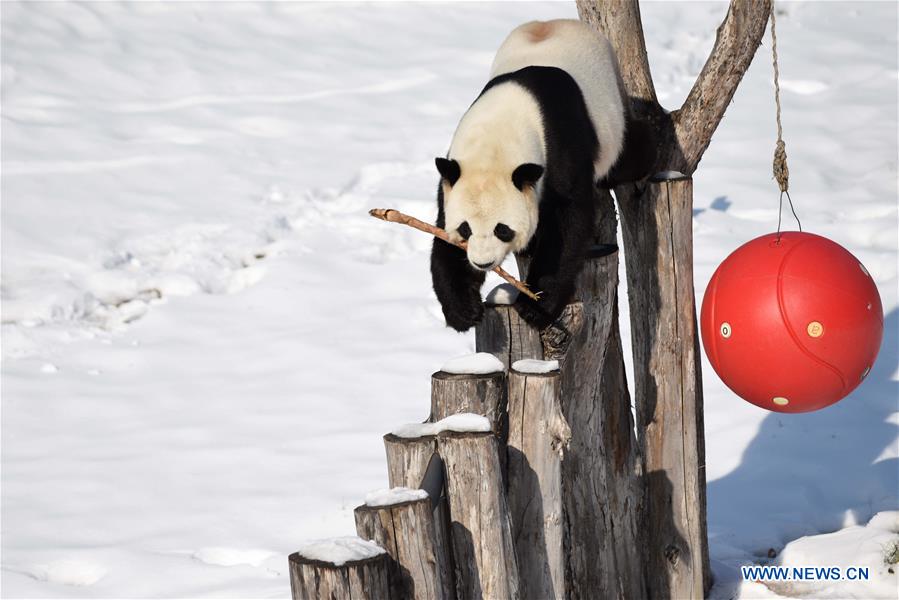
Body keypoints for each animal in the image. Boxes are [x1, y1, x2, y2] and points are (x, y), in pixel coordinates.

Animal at [430, 19, 652, 332]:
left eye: (502, 229)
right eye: (465, 229)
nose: (483, 263)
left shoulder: (559, 147)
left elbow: (567, 222)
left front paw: (535, 306)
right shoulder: (453, 175)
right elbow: (441, 234)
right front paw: (463, 309)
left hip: (610, 118)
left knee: (628, 154)